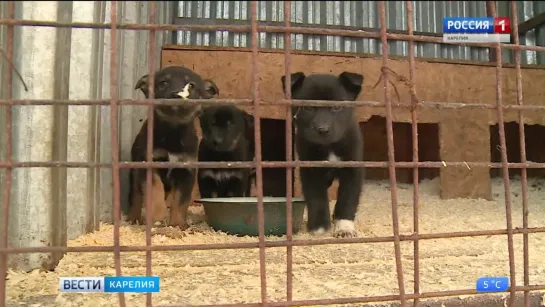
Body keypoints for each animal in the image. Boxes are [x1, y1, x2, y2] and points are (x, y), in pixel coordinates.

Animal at [127, 66, 219, 230]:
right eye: (163, 83)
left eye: (191, 85)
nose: (176, 95)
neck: (173, 133)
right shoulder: (150, 164)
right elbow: (155, 190)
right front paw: (158, 216)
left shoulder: (185, 171)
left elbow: (180, 201)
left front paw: (177, 224)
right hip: (135, 173)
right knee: (135, 197)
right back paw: (134, 218)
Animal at [280, 71, 366, 238]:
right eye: (307, 108)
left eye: (337, 107)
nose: (323, 129)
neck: (329, 146)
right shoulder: (311, 170)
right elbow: (316, 197)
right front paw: (319, 227)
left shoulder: (353, 169)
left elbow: (348, 198)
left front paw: (344, 227)